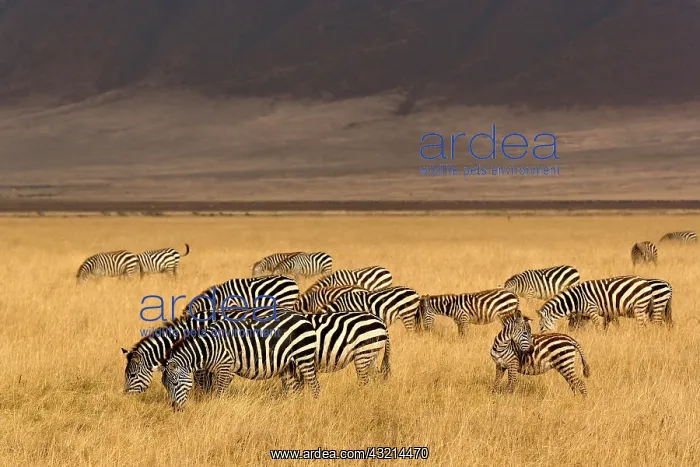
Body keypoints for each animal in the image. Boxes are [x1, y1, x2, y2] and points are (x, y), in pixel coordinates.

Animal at [159, 312, 320, 411]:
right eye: (165, 386)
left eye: (175, 384)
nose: (175, 409)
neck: (209, 348)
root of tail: (303, 318)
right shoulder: (222, 370)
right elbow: (215, 391)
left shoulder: (225, 366)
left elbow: (219, 393)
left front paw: (218, 409)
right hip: (288, 365)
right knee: (296, 389)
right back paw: (293, 408)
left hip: (304, 356)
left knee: (315, 387)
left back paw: (313, 407)